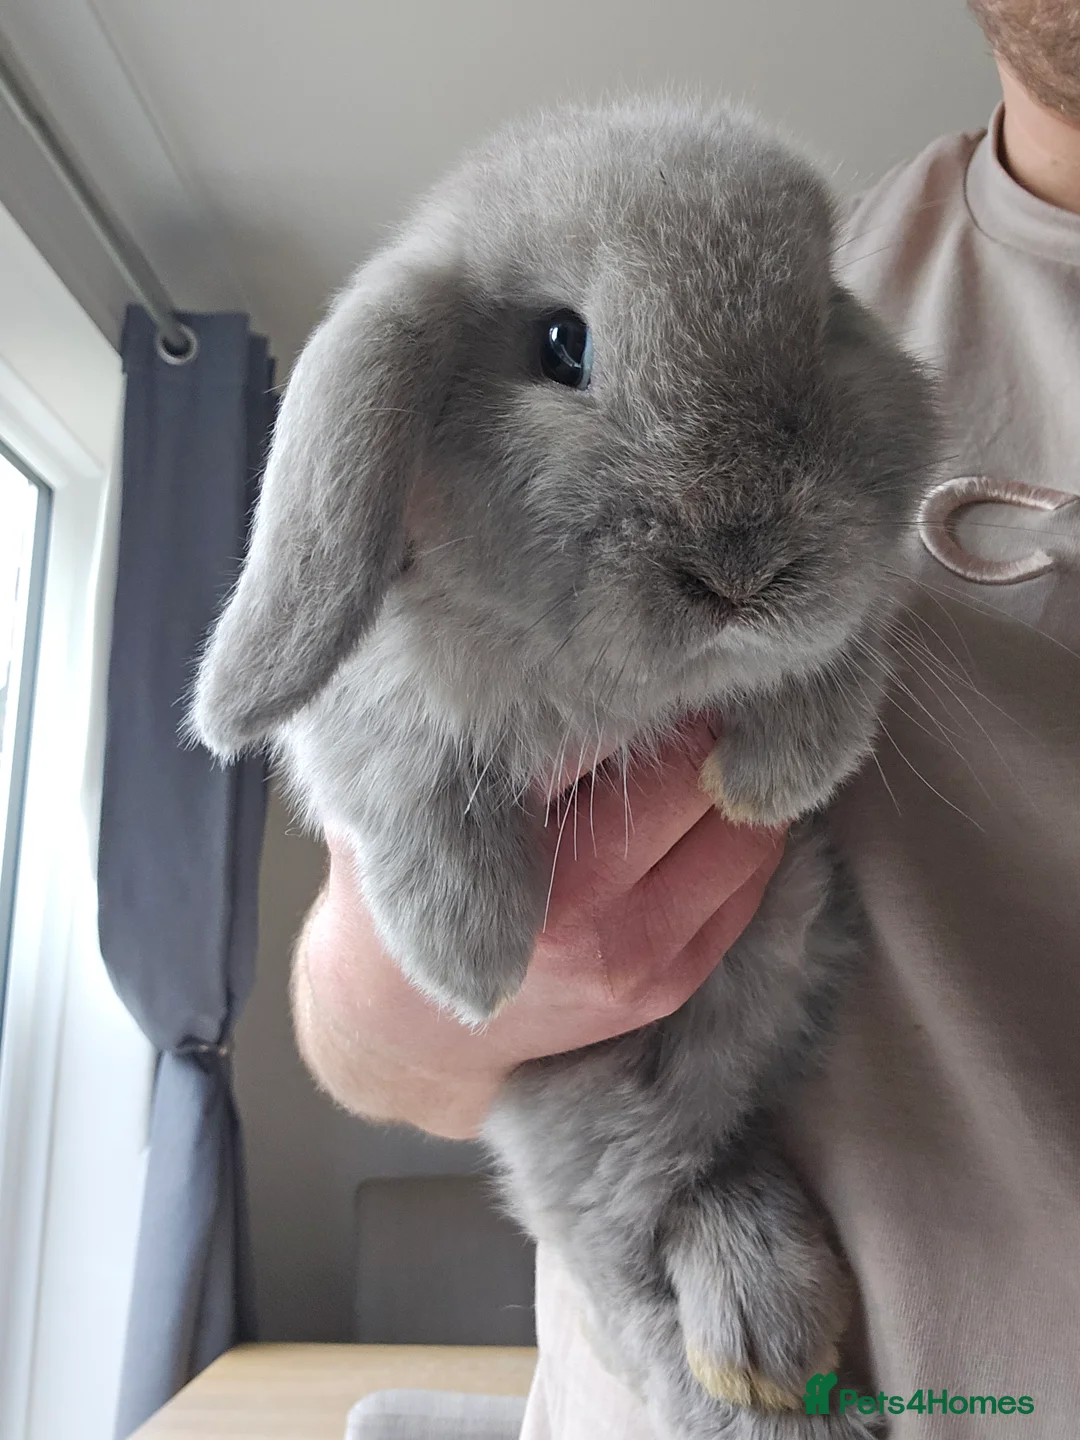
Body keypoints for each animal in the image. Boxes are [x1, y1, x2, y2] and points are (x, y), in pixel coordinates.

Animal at [189, 95, 939, 1439]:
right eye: (561, 344)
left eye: (825, 316)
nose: (742, 566)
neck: (622, 681)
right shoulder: (362, 718)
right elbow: (405, 784)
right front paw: (472, 956)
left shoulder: (844, 627)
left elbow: (839, 668)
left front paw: (763, 780)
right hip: (587, 1117)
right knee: (646, 1253)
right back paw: (762, 1359)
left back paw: (769, 1365)